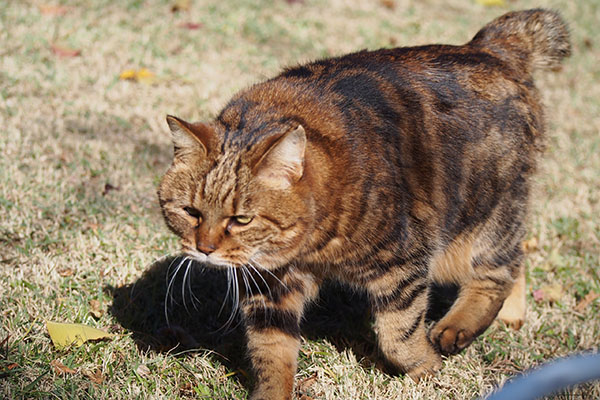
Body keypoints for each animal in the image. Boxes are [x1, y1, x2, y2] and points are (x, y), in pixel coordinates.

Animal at [157, 7, 568, 398]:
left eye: (241, 219)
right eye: (190, 212)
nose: (205, 248)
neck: (309, 246)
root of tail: (487, 47)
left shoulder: (402, 264)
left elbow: (397, 333)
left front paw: (425, 367)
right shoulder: (269, 290)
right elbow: (270, 355)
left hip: (481, 218)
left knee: (499, 268)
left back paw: (456, 327)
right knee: (517, 259)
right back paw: (511, 314)